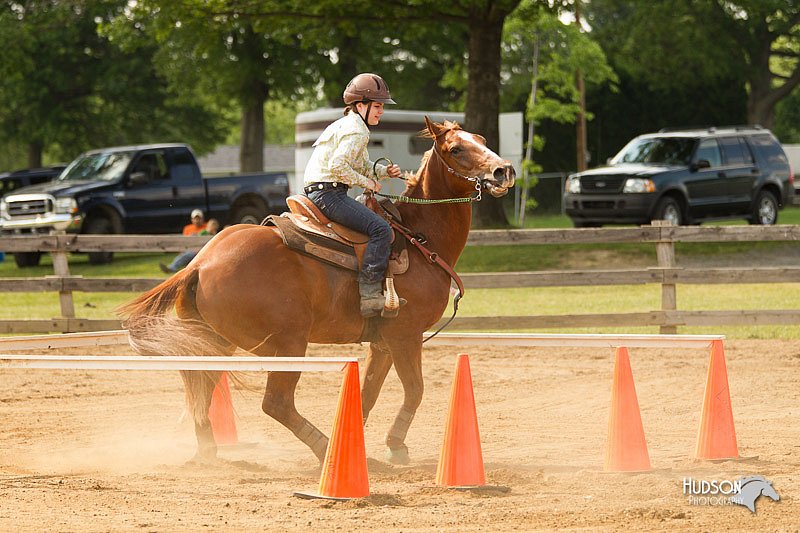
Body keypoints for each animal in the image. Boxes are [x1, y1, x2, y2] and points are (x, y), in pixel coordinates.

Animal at [120, 115, 520, 462]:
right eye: (457, 148)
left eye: (482, 139)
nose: (504, 170)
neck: (419, 236)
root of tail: (200, 264)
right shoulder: (404, 336)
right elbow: (415, 391)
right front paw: (391, 447)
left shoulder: (383, 342)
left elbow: (367, 394)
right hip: (288, 344)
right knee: (276, 403)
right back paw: (323, 447)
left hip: (217, 342)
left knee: (203, 387)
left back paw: (207, 452)